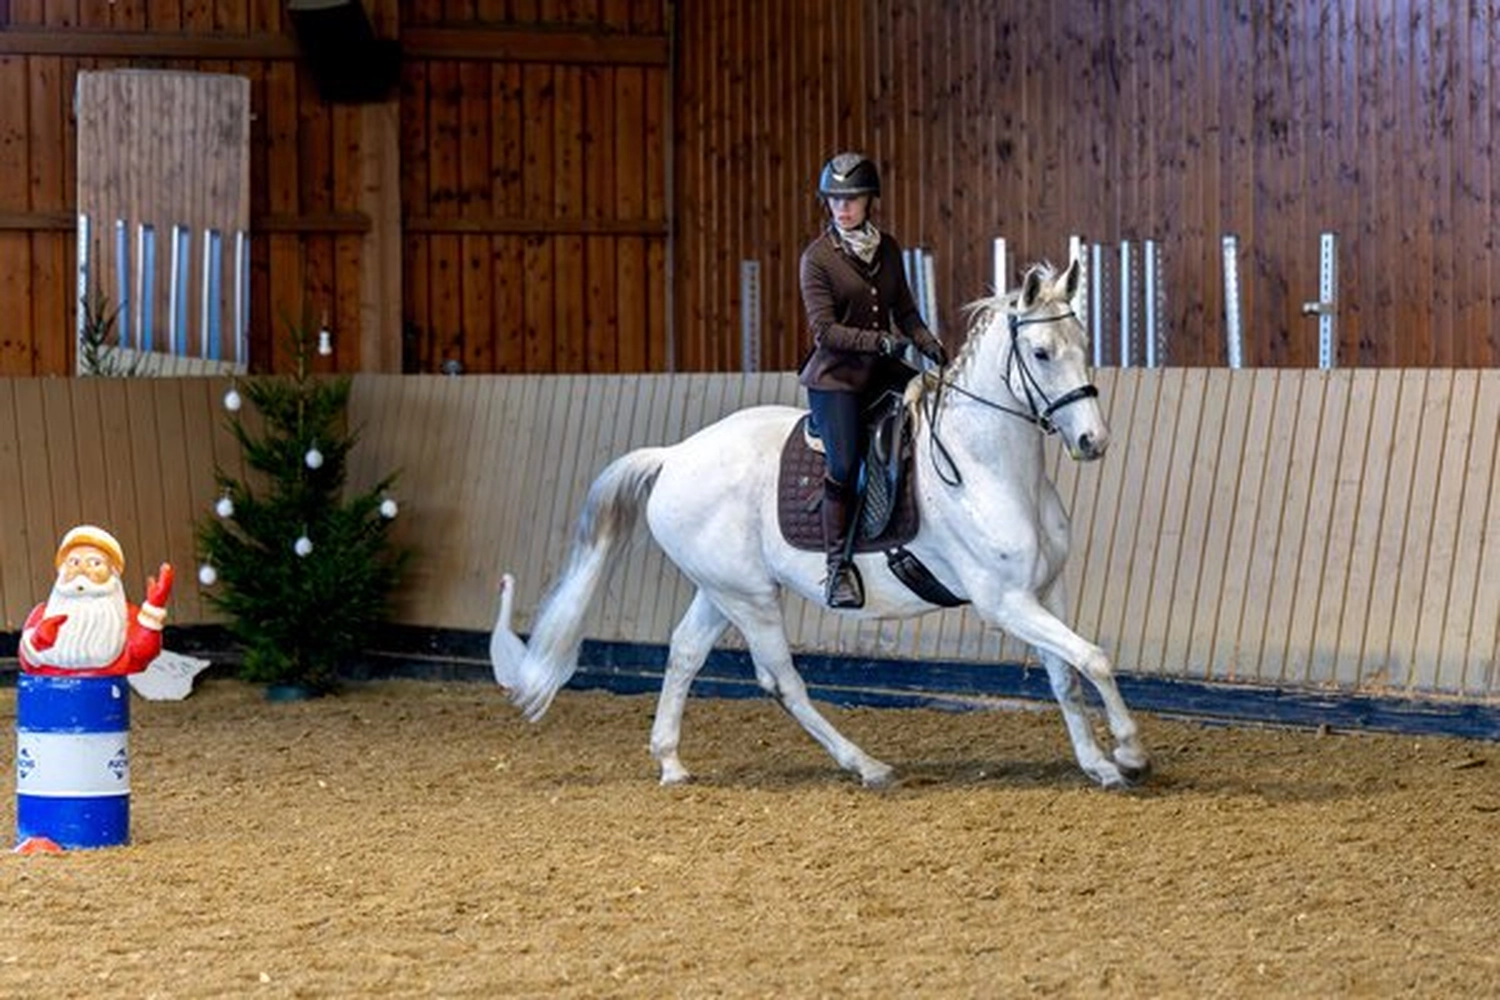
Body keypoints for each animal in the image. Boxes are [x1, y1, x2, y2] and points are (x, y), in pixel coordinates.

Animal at [492, 259, 1150, 789]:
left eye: (1084, 342)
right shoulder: (1004, 601)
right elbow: (1094, 658)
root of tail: (674, 455)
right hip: (751, 599)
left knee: (683, 654)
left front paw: (1098, 765)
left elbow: (1067, 674)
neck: (987, 466)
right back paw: (867, 765)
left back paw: (672, 763)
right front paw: (1131, 752)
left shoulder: (1044, 590)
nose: (1092, 442)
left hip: (721, 590)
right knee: (781, 681)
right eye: (1041, 354)